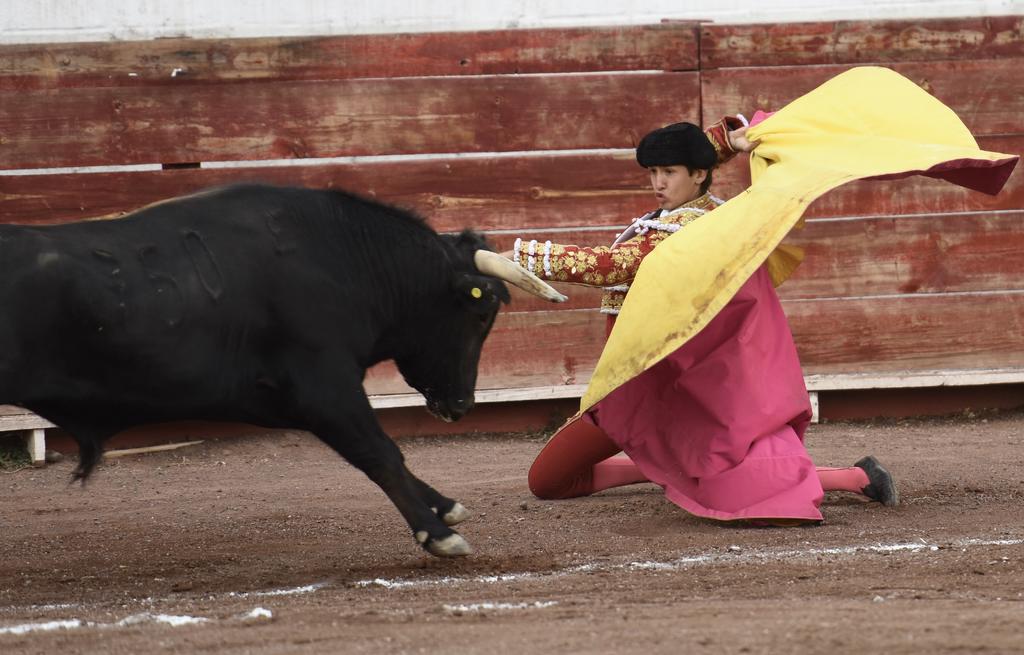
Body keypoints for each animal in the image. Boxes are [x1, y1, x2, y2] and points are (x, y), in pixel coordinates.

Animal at [0, 182, 569, 556]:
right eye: (482, 312)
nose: (460, 406)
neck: (344, 259)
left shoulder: (289, 399)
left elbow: (386, 453)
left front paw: (445, 506)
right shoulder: (324, 387)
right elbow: (381, 452)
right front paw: (441, 534)